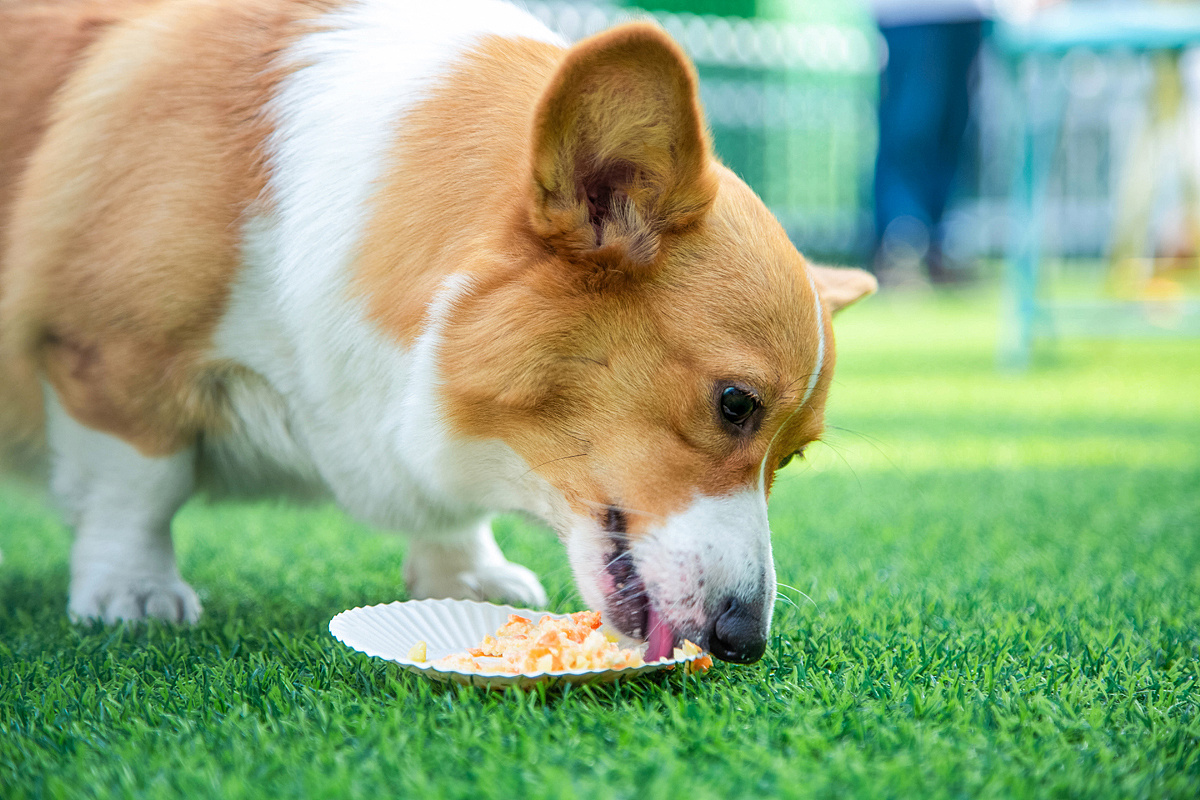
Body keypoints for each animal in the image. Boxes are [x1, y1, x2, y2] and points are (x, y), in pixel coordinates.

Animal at [0, 0, 873, 662]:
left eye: (792, 458)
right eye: (735, 404)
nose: (744, 643)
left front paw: (465, 575)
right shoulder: (107, 354)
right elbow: (142, 483)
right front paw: (134, 589)